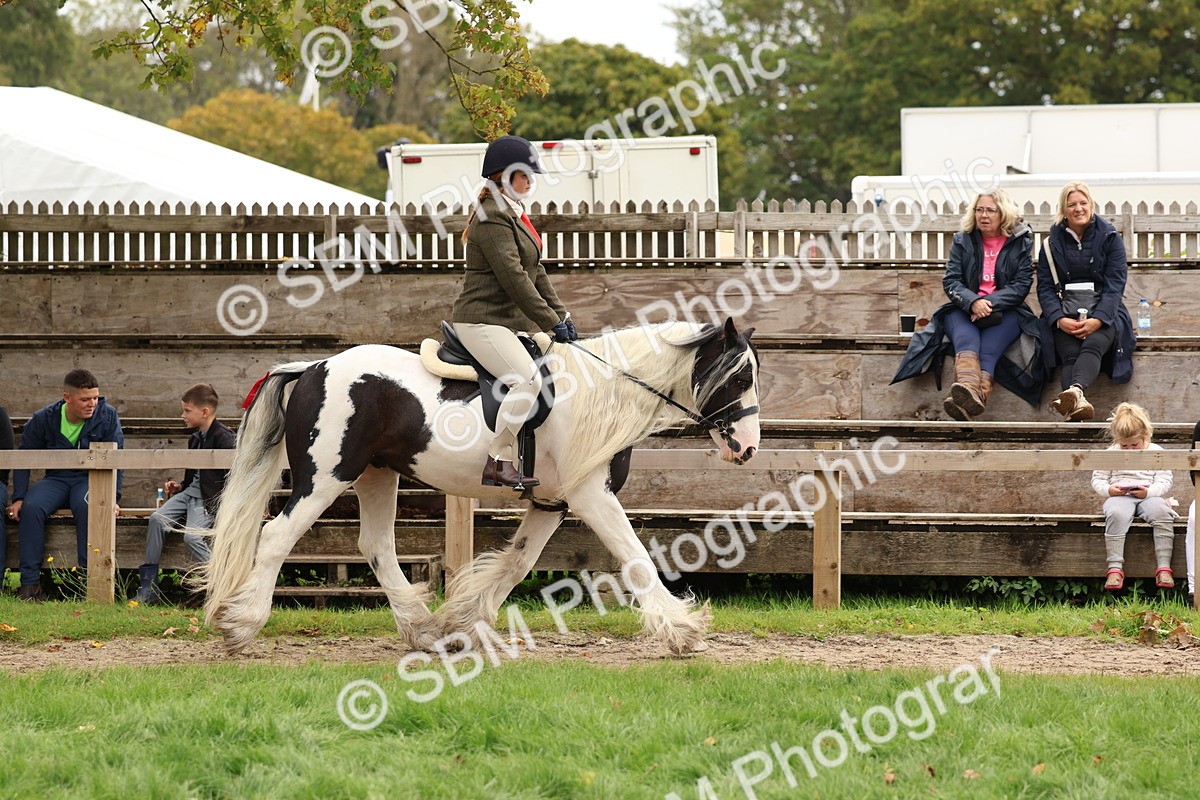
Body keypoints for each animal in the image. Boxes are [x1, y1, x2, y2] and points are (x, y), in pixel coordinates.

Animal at [200, 317, 761, 655]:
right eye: (738, 379)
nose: (748, 448)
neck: (606, 392)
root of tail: (313, 366)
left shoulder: (552, 502)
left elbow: (516, 563)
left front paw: (461, 621)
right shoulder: (591, 495)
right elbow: (636, 556)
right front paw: (683, 629)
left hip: (378, 474)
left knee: (376, 545)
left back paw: (423, 629)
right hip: (325, 476)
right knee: (276, 537)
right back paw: (242, 625)